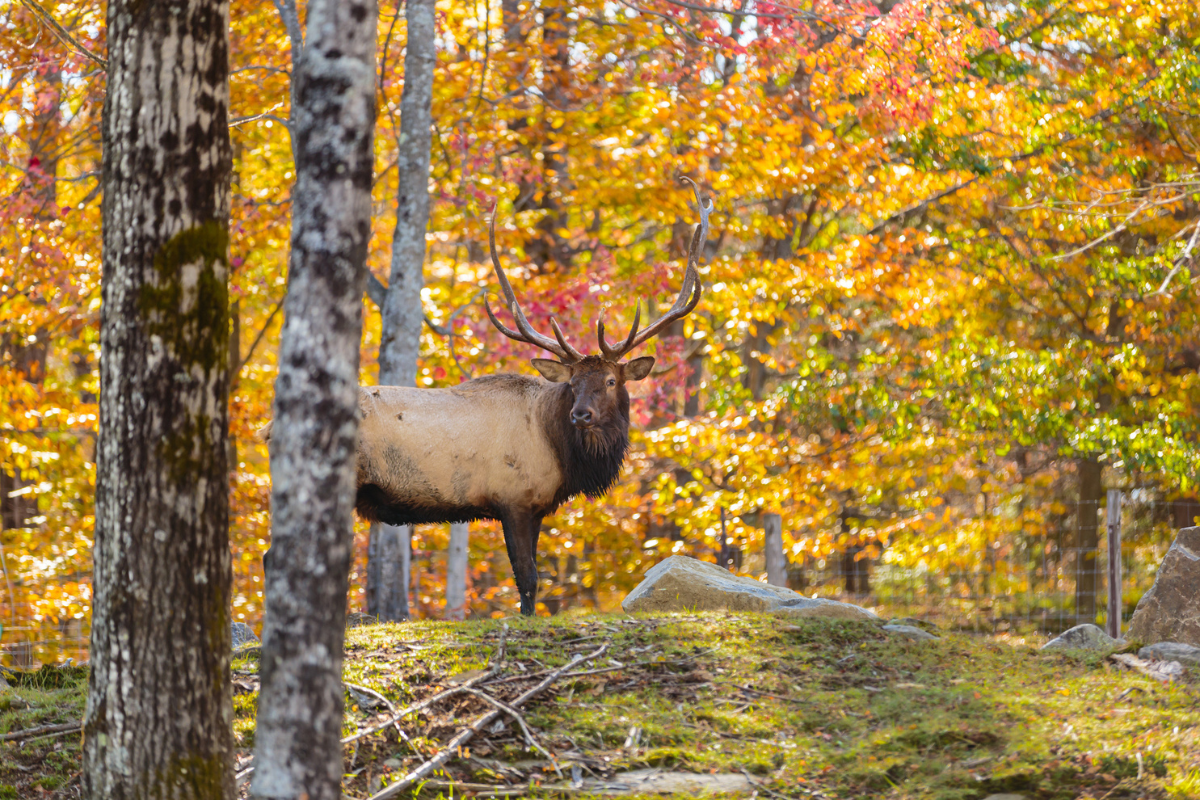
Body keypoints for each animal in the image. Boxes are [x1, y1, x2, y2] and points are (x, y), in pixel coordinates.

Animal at [264, 179, 711, 616]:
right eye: (572, 383)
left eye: (611, 380)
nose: (582, 415)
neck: (562, 453)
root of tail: (267, 429)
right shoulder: (511, 498)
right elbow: (528, 580)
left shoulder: (535, 507)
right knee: (274, 557)